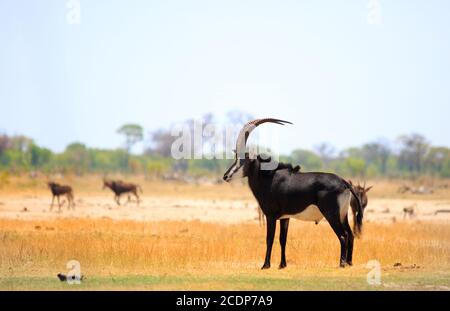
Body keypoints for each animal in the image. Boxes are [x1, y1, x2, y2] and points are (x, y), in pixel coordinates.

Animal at [223, 118, 364, 270]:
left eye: (242, 160)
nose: (226, 176)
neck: (270, 177)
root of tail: (344, 182)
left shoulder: (271, 216)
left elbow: (269, 239)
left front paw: (265, 265)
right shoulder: (285, 217)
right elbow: (282, 239)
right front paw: (282, 265)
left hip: (331, 214)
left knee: (343, 236)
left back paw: (342, 264)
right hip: (343, 215)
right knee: (350, 234)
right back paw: (349, 262)